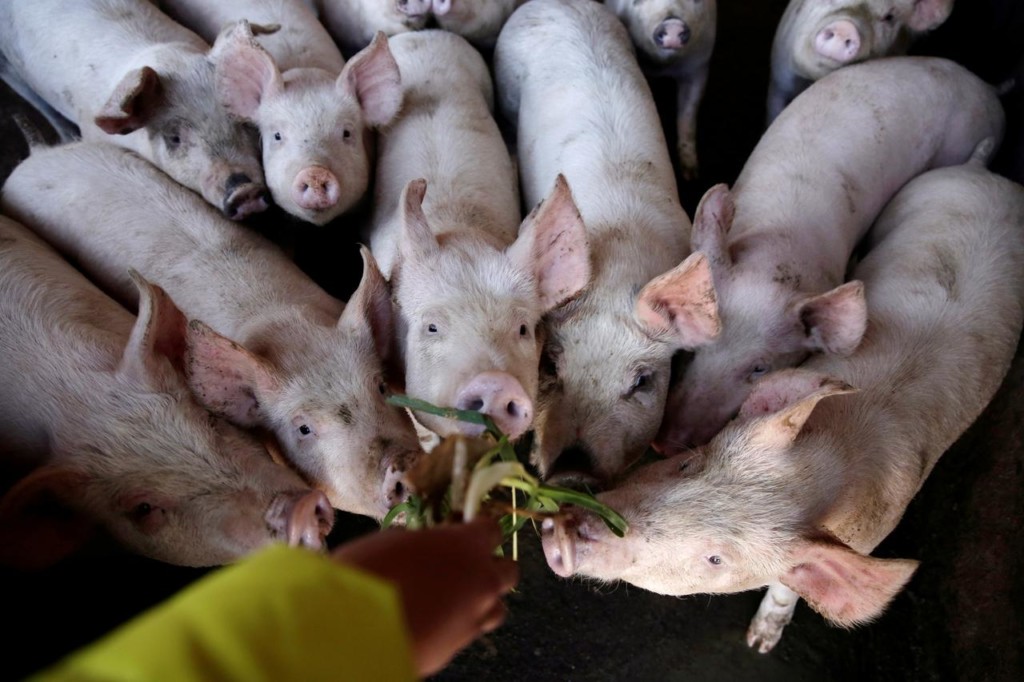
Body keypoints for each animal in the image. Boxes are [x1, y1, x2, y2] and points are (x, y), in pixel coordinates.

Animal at [542, 151, 1024, 652]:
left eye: (716, 560)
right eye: (688, 465)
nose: (564, 535)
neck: (835, 456)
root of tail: (990, 175)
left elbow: (787, 588)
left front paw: (758, 644)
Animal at [603, 0, 717, 180]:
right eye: (638, 1)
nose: (673, 24)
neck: (664, 66)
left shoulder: (700, 65)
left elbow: (688, 114)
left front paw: (690, 175)